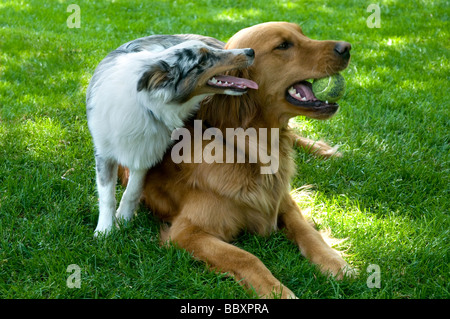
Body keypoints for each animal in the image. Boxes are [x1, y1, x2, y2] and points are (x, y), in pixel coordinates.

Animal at [86, 35, 258, 236]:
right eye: (202, 60)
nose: (250, 51)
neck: (146, 104)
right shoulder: (104, 153)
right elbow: (107, 196)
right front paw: (105, 230)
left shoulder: (145, 153)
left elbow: (132, 191)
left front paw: (124, 219)